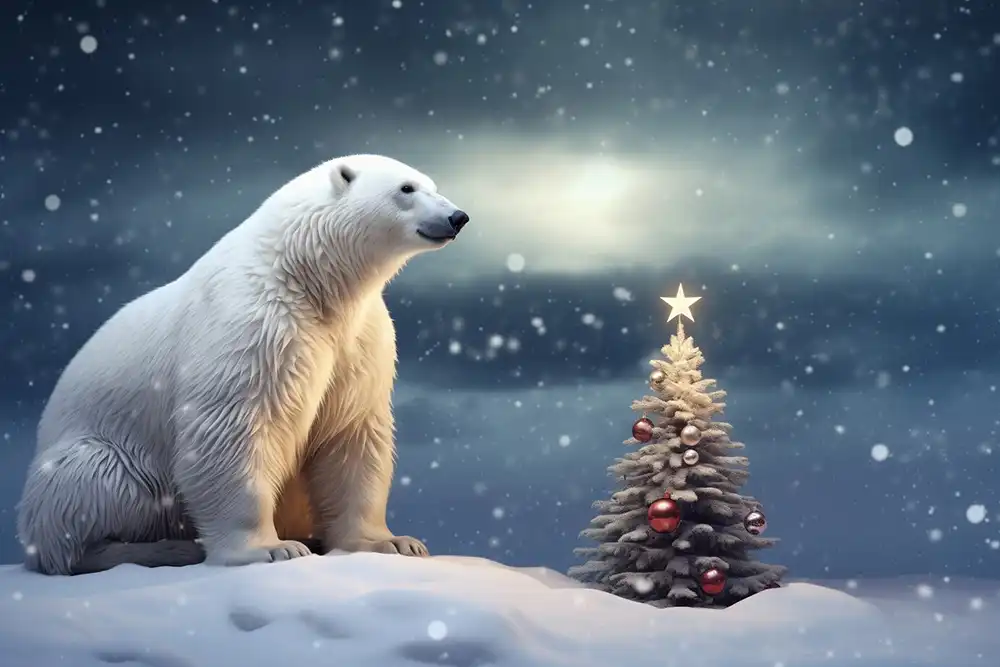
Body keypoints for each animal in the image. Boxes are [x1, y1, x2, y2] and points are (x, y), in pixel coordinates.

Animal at [15, 154, 470, 575]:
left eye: (432, 184)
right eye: (407, 188)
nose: (458, 216)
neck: (307, 274)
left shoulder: (359, 340)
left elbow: (351, 433)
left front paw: (392, 542)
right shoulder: (256, 324)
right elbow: (233, 427)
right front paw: (270, 549)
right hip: (101, 459)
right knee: (88, 490)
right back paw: (155, 549)